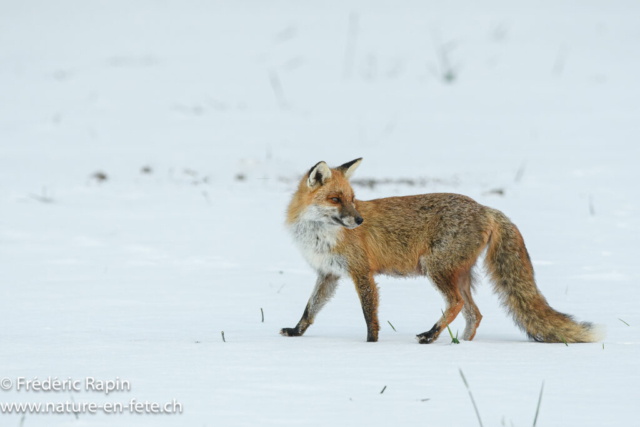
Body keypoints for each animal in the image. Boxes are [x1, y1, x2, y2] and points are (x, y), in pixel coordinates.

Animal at [278, 160, 604, 344]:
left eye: (353, 199)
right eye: (336, 199)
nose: (359, 221)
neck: (320, 236)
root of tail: (485, 208)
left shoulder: (361, 272)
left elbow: (369, 315)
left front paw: (371, 344)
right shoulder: (329, 274)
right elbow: (309, 309)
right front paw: (295, 333)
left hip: (436, 268)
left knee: (458, 305)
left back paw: (431, 335)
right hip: (458, 274)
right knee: (475, 313)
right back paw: (461, 345)